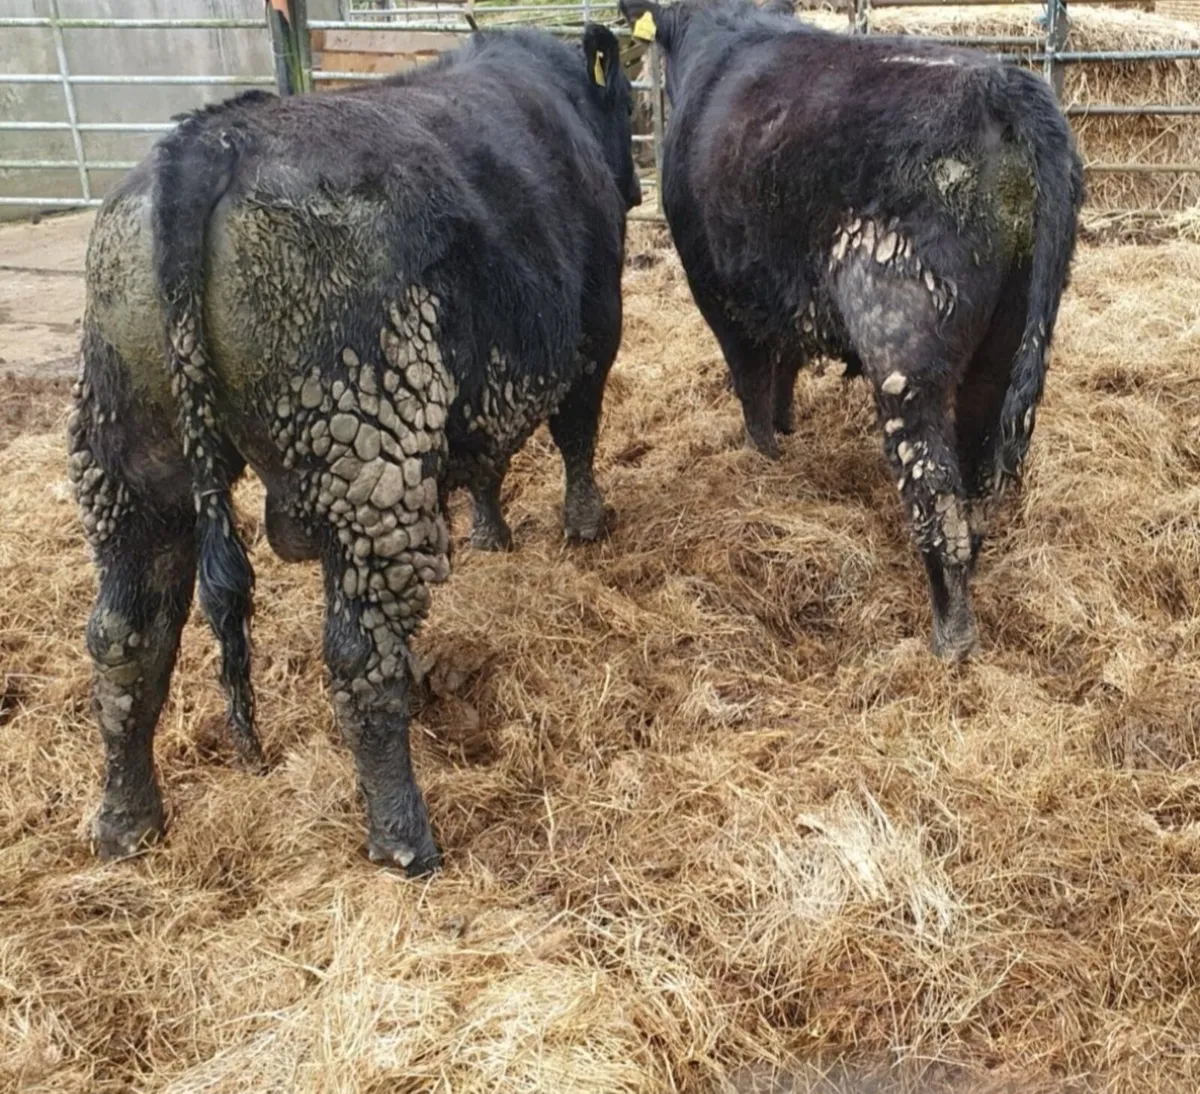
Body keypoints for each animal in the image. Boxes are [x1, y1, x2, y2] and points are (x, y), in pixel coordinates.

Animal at [66, 25, 640, 876]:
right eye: (628, 101)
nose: (635, 188)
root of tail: (207, 141)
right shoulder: (591, 331)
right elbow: (575, 434)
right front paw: (584, 523)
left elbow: (486, 464)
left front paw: (488, 534)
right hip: (368, 460)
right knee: (360, 658)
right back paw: (405, 839)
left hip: (126, 455)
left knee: (125, 638)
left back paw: (125, 823)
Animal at [618, 0, 1084, 661]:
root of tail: (999, 84)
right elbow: (782, 371)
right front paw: (786, 433)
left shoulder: (720, 292)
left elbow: (751, 383)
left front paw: (763, 457)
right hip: (1005, 344)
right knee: (976, 485)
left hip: (904, 357)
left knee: (937, 500)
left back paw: (951, 637)